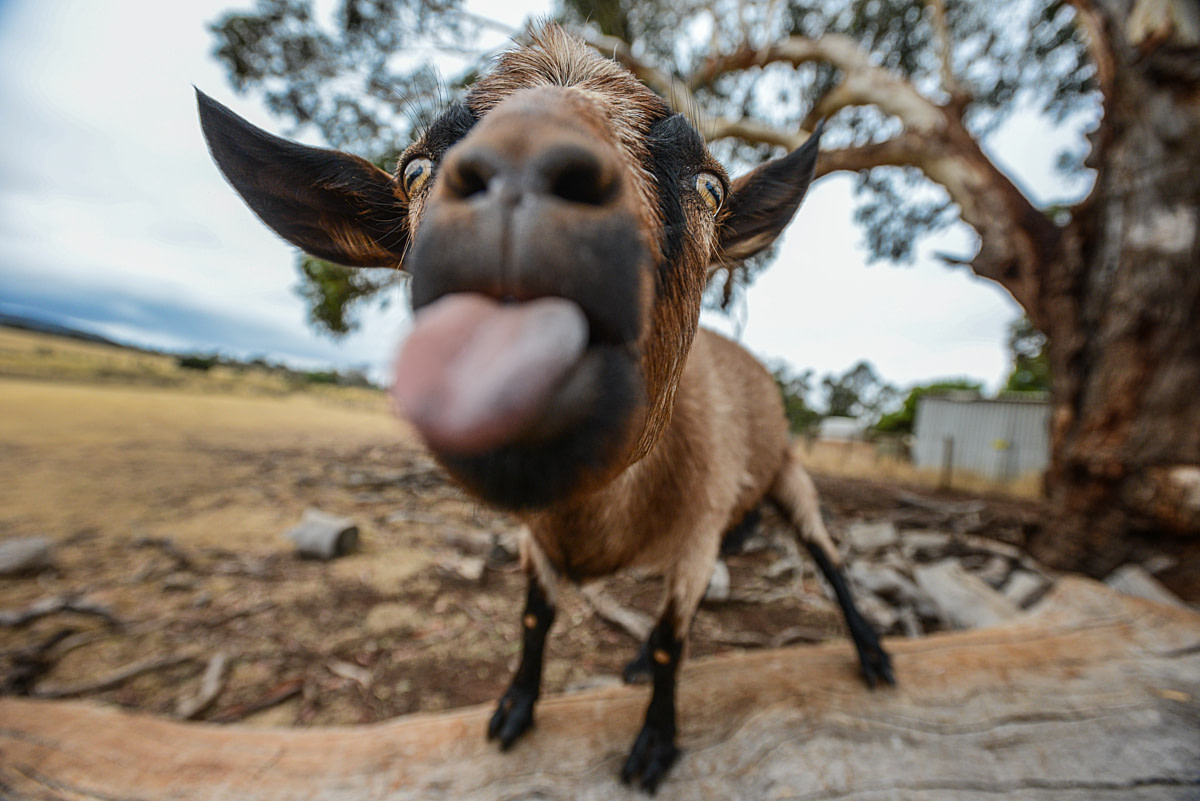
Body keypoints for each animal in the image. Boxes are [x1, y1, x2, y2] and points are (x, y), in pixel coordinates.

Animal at [198, 25, 893, 793]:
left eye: (711, 185)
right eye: (414, 171)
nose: (522, 177)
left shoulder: (698, 531)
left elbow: (672, 643)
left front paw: (654, 743)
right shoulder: (538, 538)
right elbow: (537, 618)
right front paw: (515, 708)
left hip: (790, 477)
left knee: (826, 558)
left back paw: (872, 652)